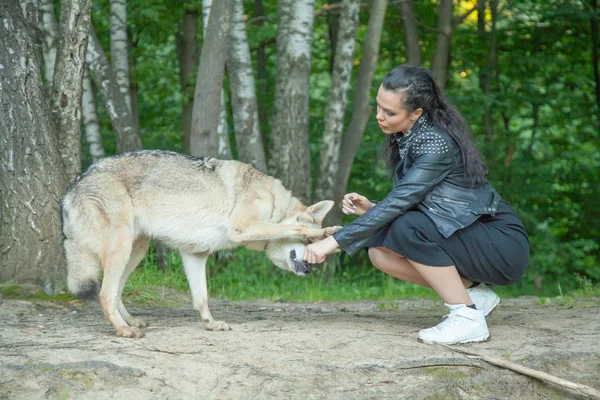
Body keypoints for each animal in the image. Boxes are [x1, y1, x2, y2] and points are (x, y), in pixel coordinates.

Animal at [63, 150, 342, 338]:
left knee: (116, 292)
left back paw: (131, 322)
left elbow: (202, 297)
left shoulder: (195, 254)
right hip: (121, 251)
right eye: (309, 243)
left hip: (135, 252)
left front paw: (210, 324)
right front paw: (326, 231)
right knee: (104, 294)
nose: (309, 270)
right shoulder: (243, 228)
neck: (274, 203)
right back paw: (124, 330)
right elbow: (293, 225)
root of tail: (73, 186)